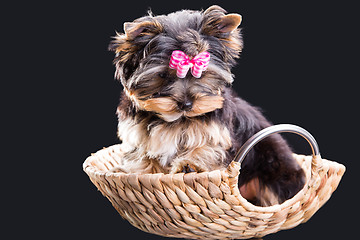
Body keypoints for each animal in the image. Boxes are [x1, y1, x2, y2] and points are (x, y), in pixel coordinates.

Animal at [109, 4, 304, 205]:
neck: (175, 119)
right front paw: (137, 171)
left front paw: (190, 164)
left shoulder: (218, 131)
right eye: (162, 75)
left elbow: (208, 146)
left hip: (274, 167)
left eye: (201, 73)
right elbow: (142, 155)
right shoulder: (137, 134)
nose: (186, 104)